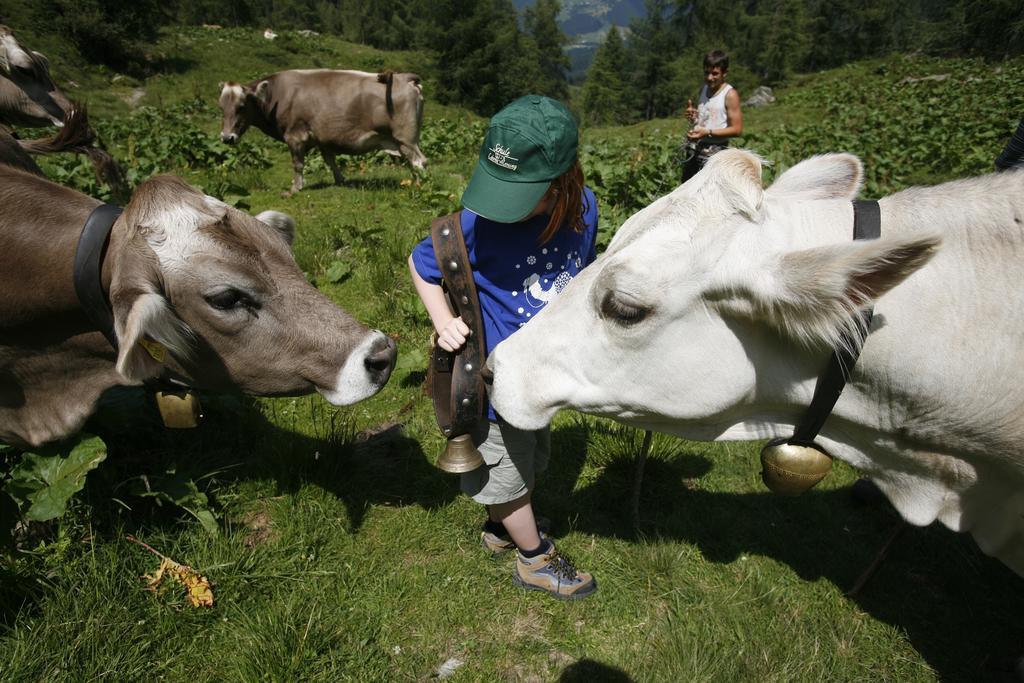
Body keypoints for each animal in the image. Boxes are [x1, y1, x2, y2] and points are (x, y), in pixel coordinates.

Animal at [218, 68, 425, 196]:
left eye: (241, 107)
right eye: (221, 107)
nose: (227, 137)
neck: (278, 95)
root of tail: (403, 77)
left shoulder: (295, 136)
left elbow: (298, 164)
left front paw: (295, 189)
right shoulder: (323, 139)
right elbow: (330, 160)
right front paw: (341, 180)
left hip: (405, 138)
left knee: (419, 161)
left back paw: (420, 185)